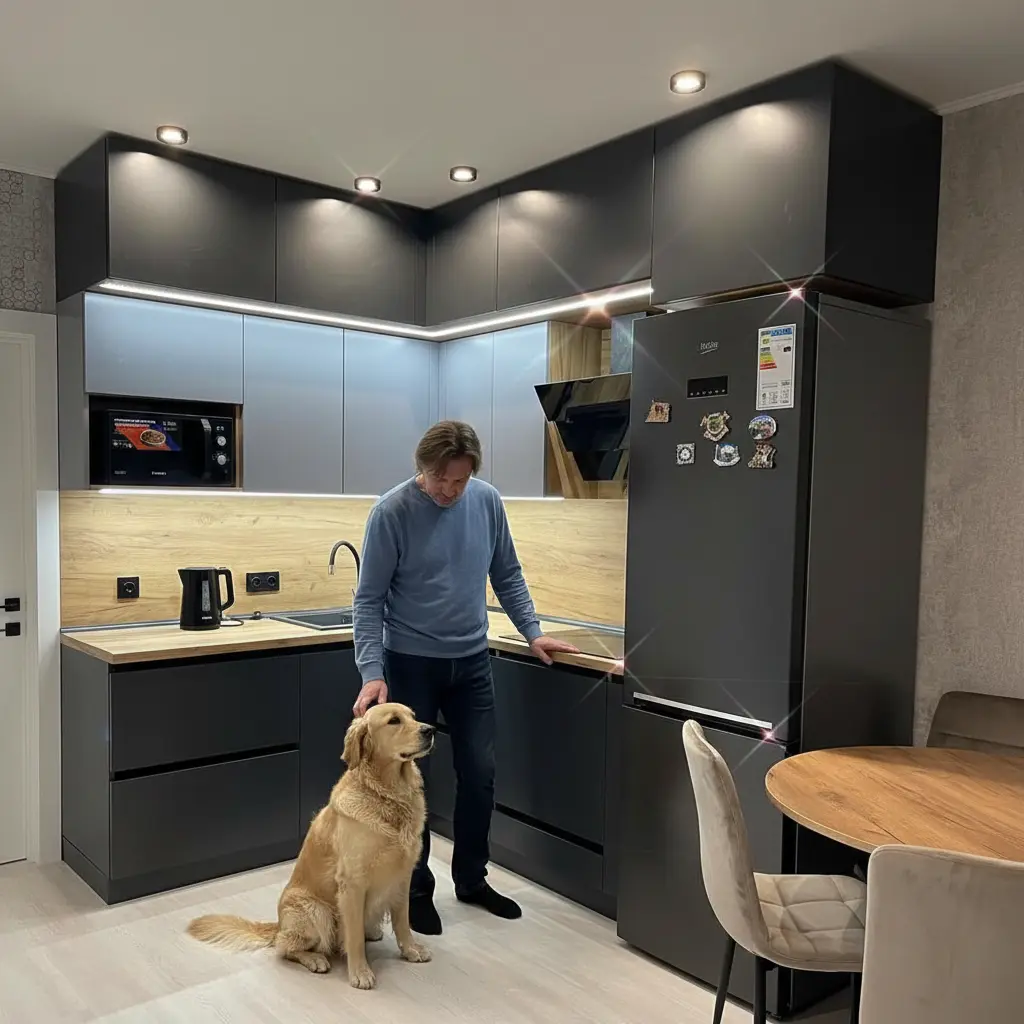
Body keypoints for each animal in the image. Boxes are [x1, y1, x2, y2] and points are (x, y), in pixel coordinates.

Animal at [187, 702, 435, 989]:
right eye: (394, 721)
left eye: (413, 717)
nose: (431, 730)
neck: (388, 795)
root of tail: (279, 925)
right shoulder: (352, 883)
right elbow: (353, 937)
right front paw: (360, 972)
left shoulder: (402, 876)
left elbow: (403, 920)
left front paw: (411, 950)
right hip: (317, 911)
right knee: (285, 948)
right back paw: (315, 959)